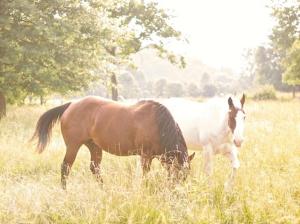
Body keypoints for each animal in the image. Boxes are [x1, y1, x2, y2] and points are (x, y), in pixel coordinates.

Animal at [30, 96, 195, 189]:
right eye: (179, 173)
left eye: (186, 174)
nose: (176, 192)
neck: (158, 124)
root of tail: (71, 105)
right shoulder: (146, 156)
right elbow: (144, 175)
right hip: (73, 146)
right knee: (65, 168)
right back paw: (65, 191)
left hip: (94, 147)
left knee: (95, 168)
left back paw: (104, 190)